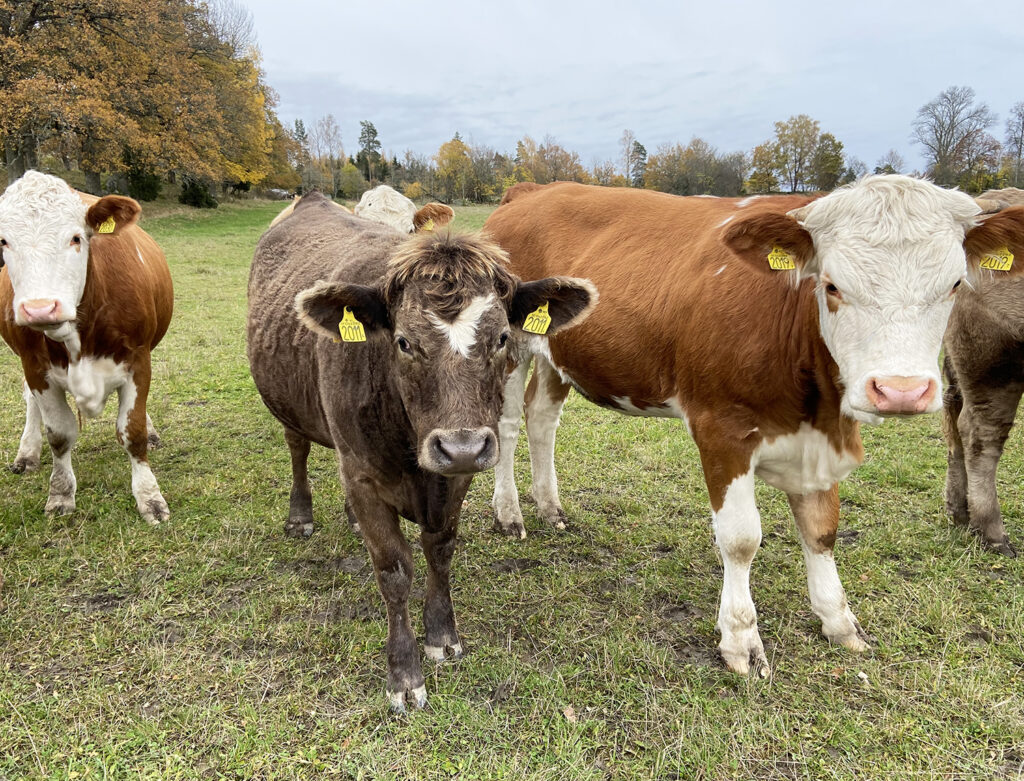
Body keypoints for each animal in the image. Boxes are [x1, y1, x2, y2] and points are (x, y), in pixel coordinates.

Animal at [0, 170, 172, 524]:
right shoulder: (35, 367)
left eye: (76, 238)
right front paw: (60, 494)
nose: (39, 308)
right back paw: (27, 452)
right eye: (4, 241)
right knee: (29, 402)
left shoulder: (138, 359)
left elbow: (132, 431)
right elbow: (60, 434)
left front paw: (150, 498)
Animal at [247, 192, 598, 712]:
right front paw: (404, 673)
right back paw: (300, 516)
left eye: (501, 338)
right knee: (298, 449)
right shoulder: (365, 475)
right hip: (289, 405)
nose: (461, 446)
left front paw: (442, 636)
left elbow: (441, 549)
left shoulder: (456, 477)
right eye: (403, 342)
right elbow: (393, 571)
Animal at [483, 177, 1024, 679]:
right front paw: (741, 638)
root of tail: (532, 190)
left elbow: (822, 528)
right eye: (831, 285)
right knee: (507, 426)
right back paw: (510, 514)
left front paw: (838, 620)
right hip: (508, 351)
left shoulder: (821, 438)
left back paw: (550, 507)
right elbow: (741, 538)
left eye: (955, 285)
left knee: (542, 418)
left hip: (558, 356)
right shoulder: (722, 428)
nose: (901, 391)